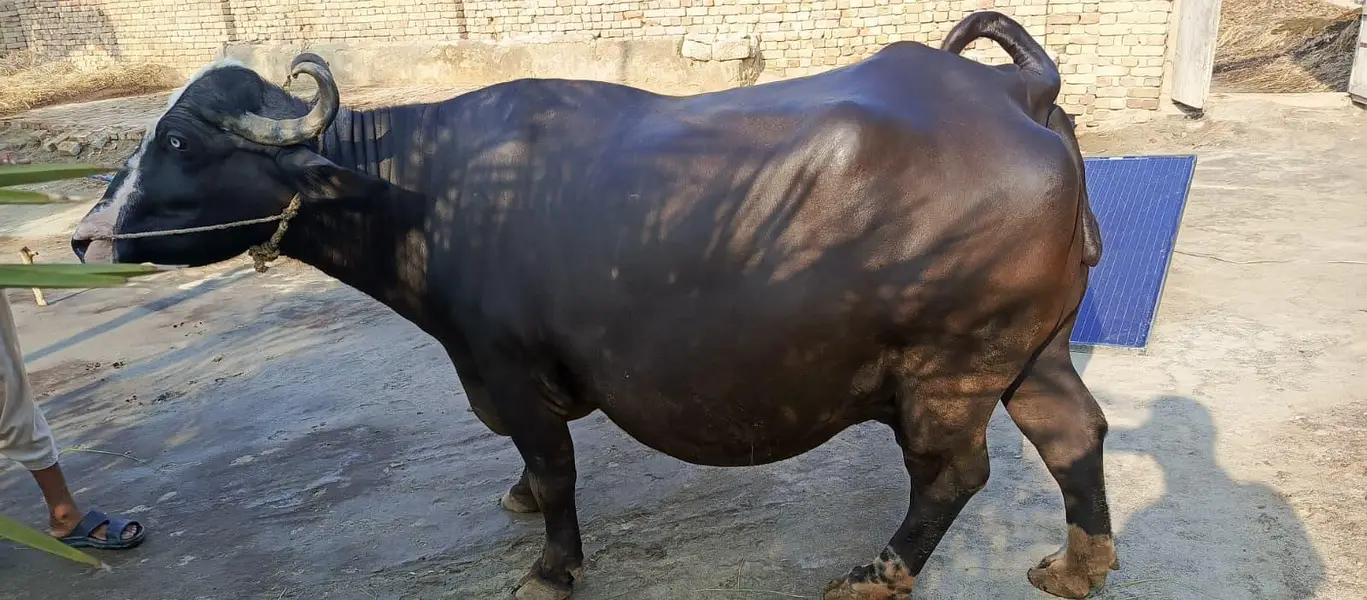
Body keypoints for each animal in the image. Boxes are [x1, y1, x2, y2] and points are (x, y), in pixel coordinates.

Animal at [71, 11, 1115, 600]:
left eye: (180, 143)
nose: (84, 237)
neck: (430, 193)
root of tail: (1018, 90)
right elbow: (534, 472)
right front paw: (520, 504)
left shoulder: (511, 369)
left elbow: (557, 468)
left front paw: (548, 568)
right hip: (1035, 347)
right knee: (1073, 431)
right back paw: (1077, 566)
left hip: (950, 365)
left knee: (952, 474)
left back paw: (873, 576)